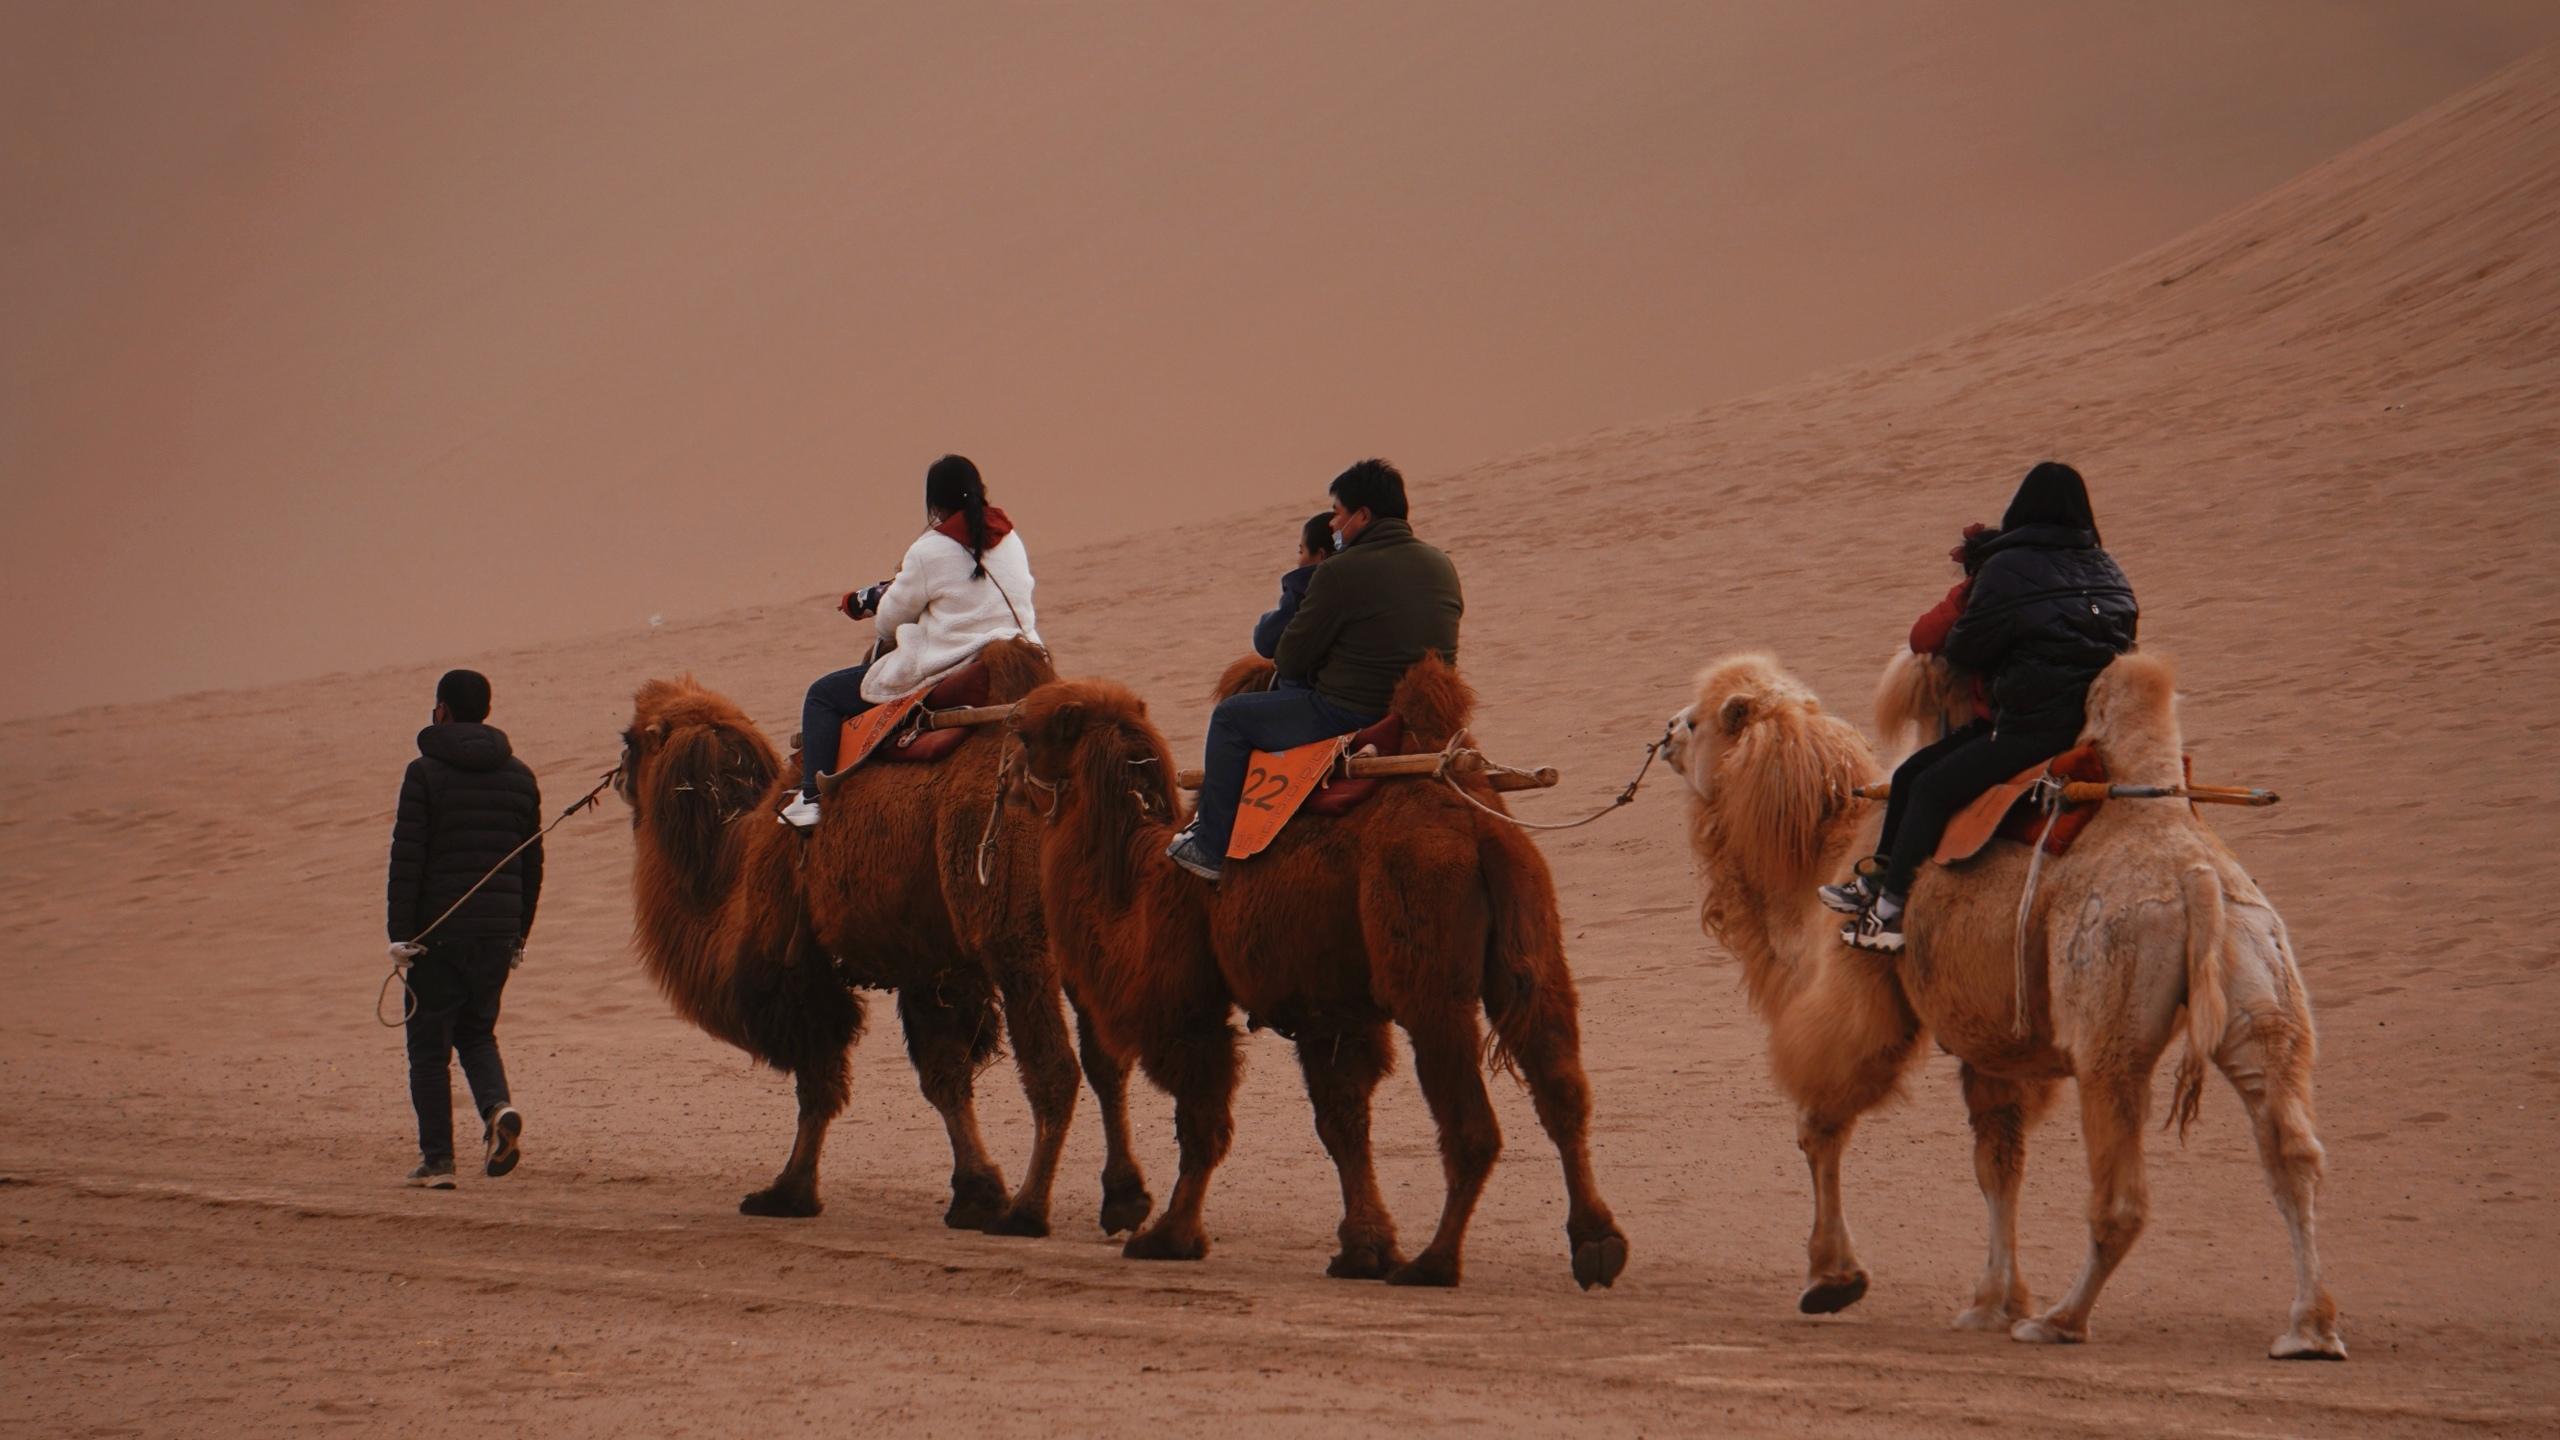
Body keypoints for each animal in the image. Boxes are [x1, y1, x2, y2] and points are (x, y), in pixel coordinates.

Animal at [614, 638, 1146, 1235]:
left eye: (630, 739)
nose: (619, 779)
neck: (737, 871)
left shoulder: (804, 969)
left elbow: (819, 1083)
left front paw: (788, 1192)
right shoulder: (931, 965)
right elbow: (944, 1079)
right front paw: (975, 1193)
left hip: (1019, 946)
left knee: (1055, 1070)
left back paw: (1028, 1212)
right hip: (1086, 939)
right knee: (1108, 1062)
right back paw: (1124, 1199)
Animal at [998, 655, 1617, 1281]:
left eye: (1027, 733)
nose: (1007, 782)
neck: (1136, 888)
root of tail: (1477, 828)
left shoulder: (1188, 1005)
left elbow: (1203, 1122)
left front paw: (1170, 1235)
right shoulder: (1329, 1007)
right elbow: (1342, 1122)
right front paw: (1364, 1248)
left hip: (1427, 967)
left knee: (1472, 1125)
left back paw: (1433, 1263)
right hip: (1530, 944)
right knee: (1561, 1089)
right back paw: (1596, 1244)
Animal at [1658, 645, 2344, 1352]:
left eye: (1702, 720)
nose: (1666, 731)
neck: (1823, 848)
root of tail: (2196, 877)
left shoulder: (1857, 1000)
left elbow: (1819, 1125)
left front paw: (1832, 1279)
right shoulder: (1993, 1049)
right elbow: (1998, 1163)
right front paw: (1992, 1301)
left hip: (2109, 1031)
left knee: (2122, 1196)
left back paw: (2060, 1321)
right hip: (2261, 985)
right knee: (2293, 1154)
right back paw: (2309, 1328)